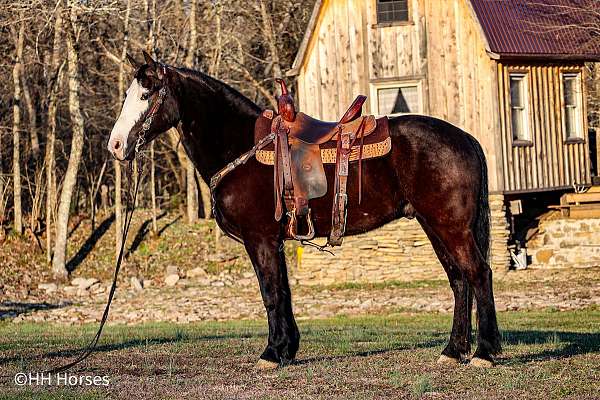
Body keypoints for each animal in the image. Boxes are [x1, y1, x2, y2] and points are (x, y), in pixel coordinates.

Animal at [108, 51, 502, 370]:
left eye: (145, 94)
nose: (116, 145)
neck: (242, 147)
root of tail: (466, 138)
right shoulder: (274, 242)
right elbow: (282, 293)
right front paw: (286, 349)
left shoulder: (261, 240)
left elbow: (271, 293)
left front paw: (271, 353)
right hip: (433, 225)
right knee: (459, 280)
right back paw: (453, 351)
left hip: (450, 226)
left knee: (479, 273)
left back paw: (484, 352)